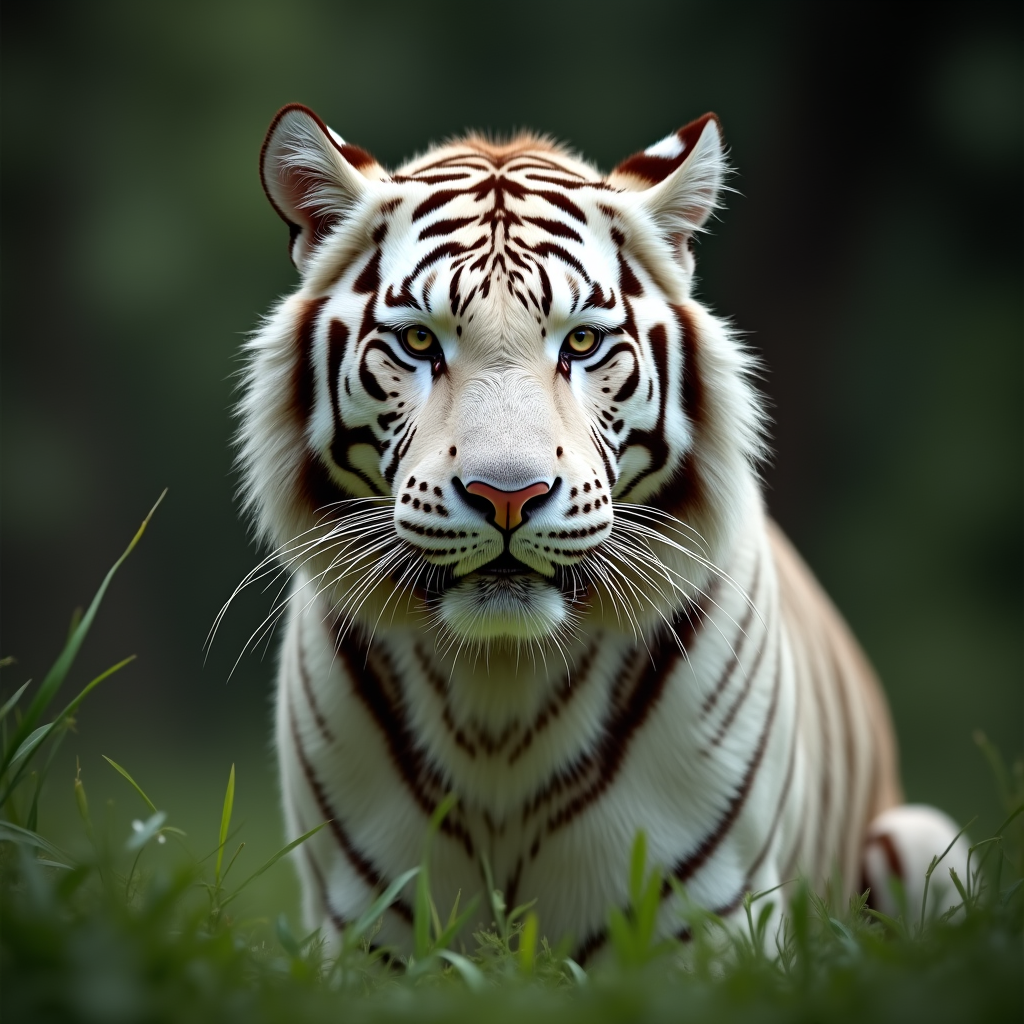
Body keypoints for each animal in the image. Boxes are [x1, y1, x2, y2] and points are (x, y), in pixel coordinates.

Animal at [236, 103, 967, 961]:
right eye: (418, 342)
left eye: (580, 343)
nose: (507, 495)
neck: (499, 690)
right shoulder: (364, 931)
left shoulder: (711, 922)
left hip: (920, 838)